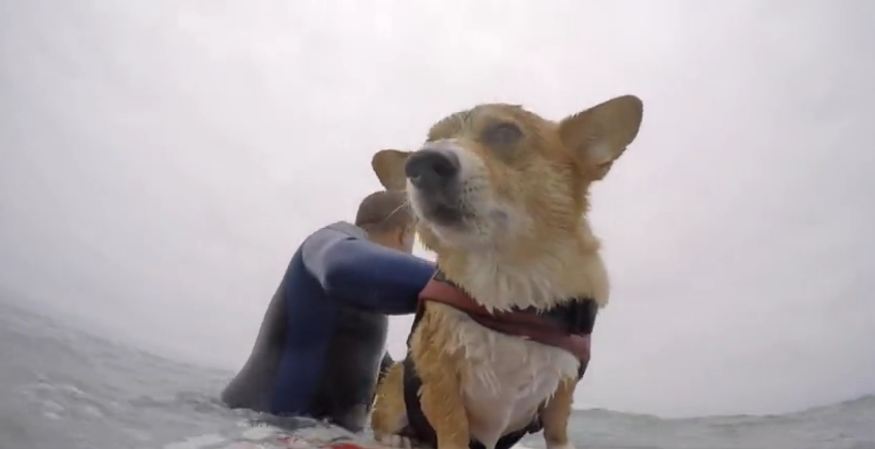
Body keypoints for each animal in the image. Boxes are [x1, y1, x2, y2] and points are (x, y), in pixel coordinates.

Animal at [370, 95, 644, 449]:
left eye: (504, 132)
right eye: (427, 145)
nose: (420, 164)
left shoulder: (563, 385)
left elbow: (557, 432)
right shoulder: (439, 381)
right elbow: (453, 432)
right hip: (394, 384)